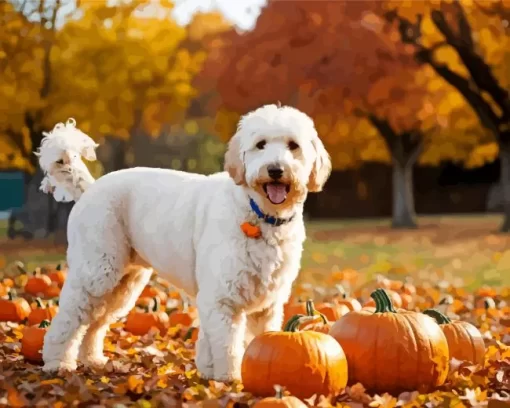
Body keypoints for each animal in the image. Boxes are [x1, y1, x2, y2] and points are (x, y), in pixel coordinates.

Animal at [35, 104, 330, 382]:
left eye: (293, 145)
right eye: (261, 145)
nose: (276, 169)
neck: (258, 213)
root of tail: (90, 188)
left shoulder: (266, 305)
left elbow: (249, 340)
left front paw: (211, 373)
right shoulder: (222, 297)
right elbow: (228, 346)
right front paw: (230, 379)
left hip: (123, 283)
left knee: (94, 323)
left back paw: (92, 359)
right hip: (97, 272)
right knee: (68, 318)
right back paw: (57, 363)